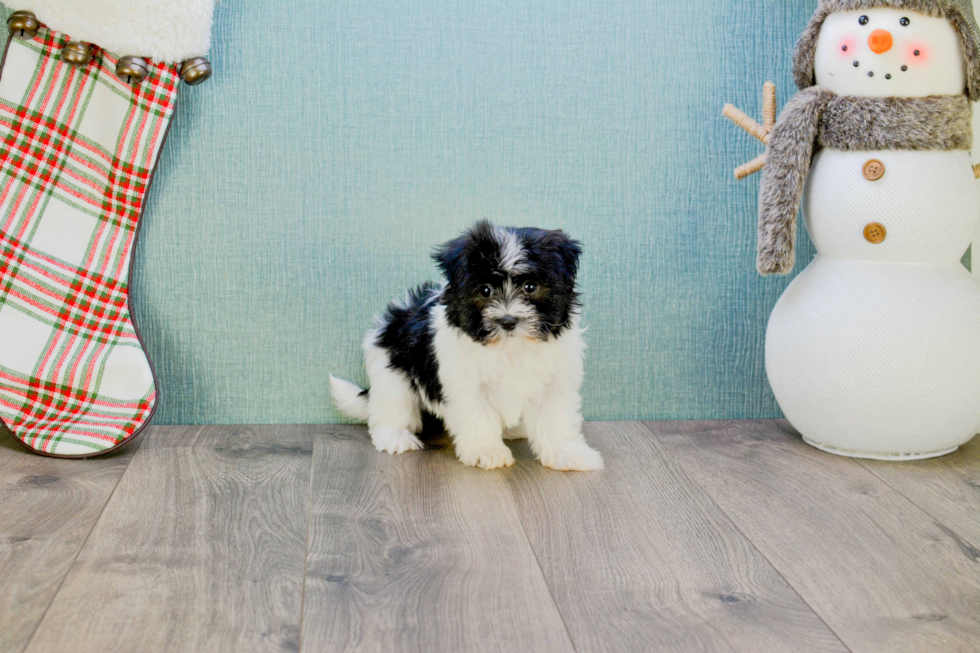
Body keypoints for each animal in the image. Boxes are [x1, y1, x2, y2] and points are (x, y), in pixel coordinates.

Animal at [332, 222, 604, 472]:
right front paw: (488, 452)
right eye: (485, 290)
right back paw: (396, 435)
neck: (510, 348)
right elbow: (478, 416)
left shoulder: (555, 380)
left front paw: (567, 455)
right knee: (393, 407)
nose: (508, 321)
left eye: (530, 287)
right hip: (391, 370)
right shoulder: (466, 384)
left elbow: (555, 418)